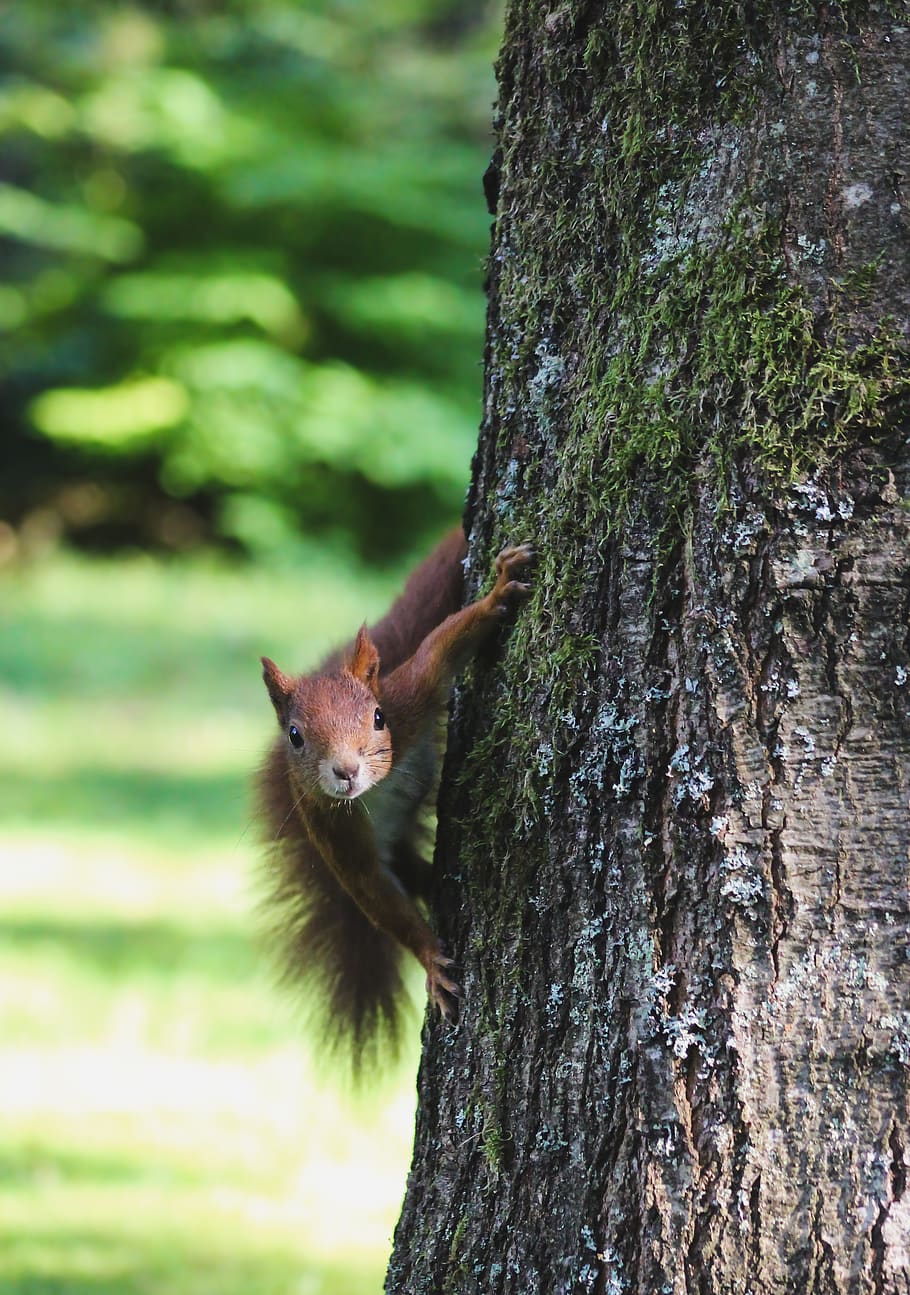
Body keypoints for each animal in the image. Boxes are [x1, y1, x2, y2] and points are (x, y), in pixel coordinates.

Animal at [256, 527, 533, 1068]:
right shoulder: (331, 828)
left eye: (377, 718)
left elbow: (440, 650)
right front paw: (430, 958)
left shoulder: (410, 698)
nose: (346, 771)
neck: (375, 791)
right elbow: (375, 893)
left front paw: (497, 592)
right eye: (295, 736)